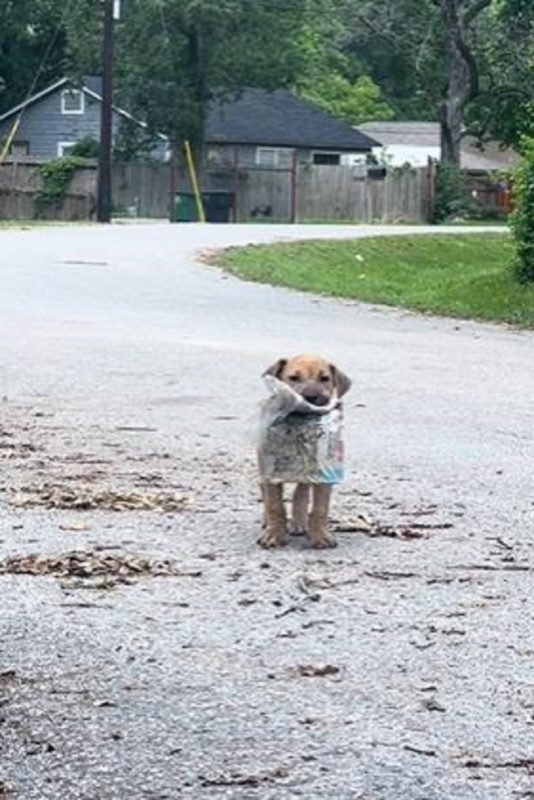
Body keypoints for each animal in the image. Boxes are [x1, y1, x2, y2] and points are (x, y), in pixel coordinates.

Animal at [258, 356, 352, 552]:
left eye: (325, 378)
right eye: (293, 378)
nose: (311, 398)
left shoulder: (324, 473)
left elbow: (320, 508)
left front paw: (321, 536)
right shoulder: (270, 471)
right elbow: (274, 505)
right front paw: (274, 535)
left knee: (301, 491)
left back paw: (299, 522)